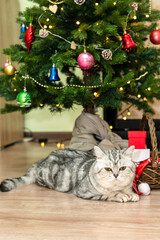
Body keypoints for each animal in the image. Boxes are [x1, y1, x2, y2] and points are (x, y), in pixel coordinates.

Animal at [0, 144, 139, 202]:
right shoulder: (84, 192)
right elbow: (109, 194)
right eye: (108, 169)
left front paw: (131, 194)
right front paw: (121, 196)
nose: (116, 175)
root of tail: (40, 162)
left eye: (122, 168)